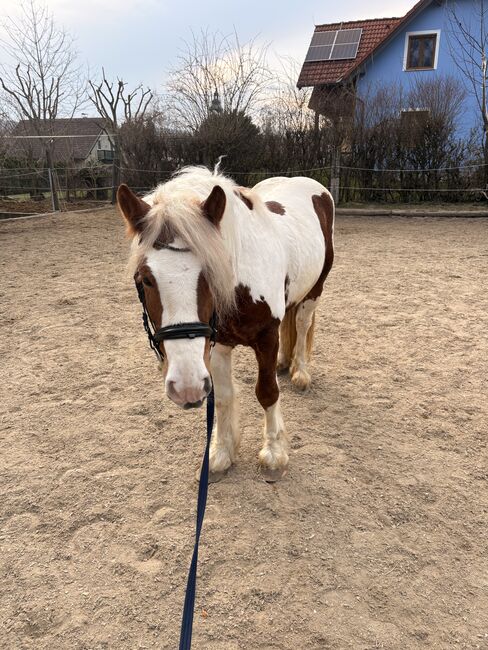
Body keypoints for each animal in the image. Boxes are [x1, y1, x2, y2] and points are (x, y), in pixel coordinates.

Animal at [117, 166, 334, 482]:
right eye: (145, 278)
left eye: (212, 271)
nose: (186, 387)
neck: (241, 285)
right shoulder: (217, 343)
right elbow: (222, 396)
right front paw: (221, 453)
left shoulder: (266, 338)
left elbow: (267, 392)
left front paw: (274, 453)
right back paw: (285, 363)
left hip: (315, 288)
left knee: (303, 324)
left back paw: (300, 373)